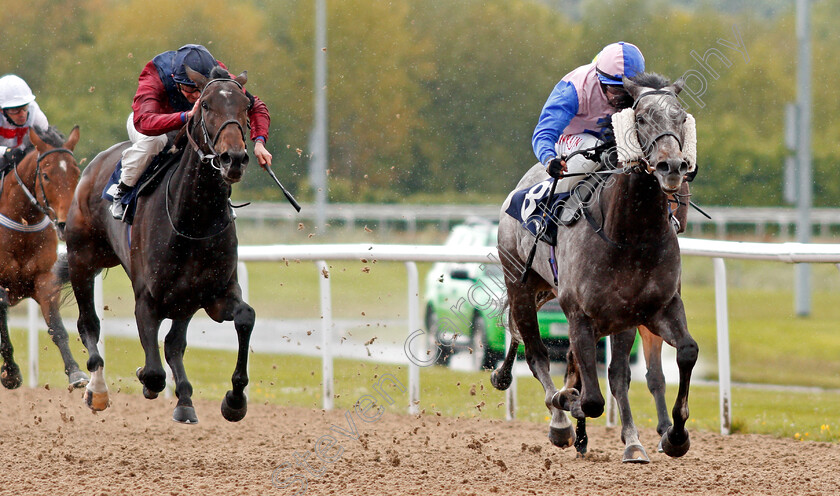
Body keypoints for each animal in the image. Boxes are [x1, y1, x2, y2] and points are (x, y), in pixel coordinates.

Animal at [0, 126, 88, 390]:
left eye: (76, 173)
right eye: (46, 175)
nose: (65, 223)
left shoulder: (45, 279)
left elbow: (56, 328)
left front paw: (76, 372)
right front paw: (11, 373)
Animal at [64, 65, 254, 422]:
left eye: (246, 106)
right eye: (206, 105)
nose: (233, 158)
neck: (193, 220)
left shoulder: (214, 294)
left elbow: (244, 317)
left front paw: (234, 400)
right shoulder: (147, 300)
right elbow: (153, 372)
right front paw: (144, 379)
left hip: (184, 300)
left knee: (174, 343)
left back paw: (185, 401)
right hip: (82, 258)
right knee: (88, 323)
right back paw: (97, 390)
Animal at [496, 71, 700, 464]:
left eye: (681, 117)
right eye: (641, 118)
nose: (672, 167)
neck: (631, 236)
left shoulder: (655, 308)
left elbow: (684, 352)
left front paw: (674, 436)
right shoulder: (579, 315)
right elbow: (589, 399)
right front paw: (568, 403)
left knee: (610, 373)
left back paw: (624, 440)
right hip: (521, 285)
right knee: (537, 355)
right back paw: (560, 422)